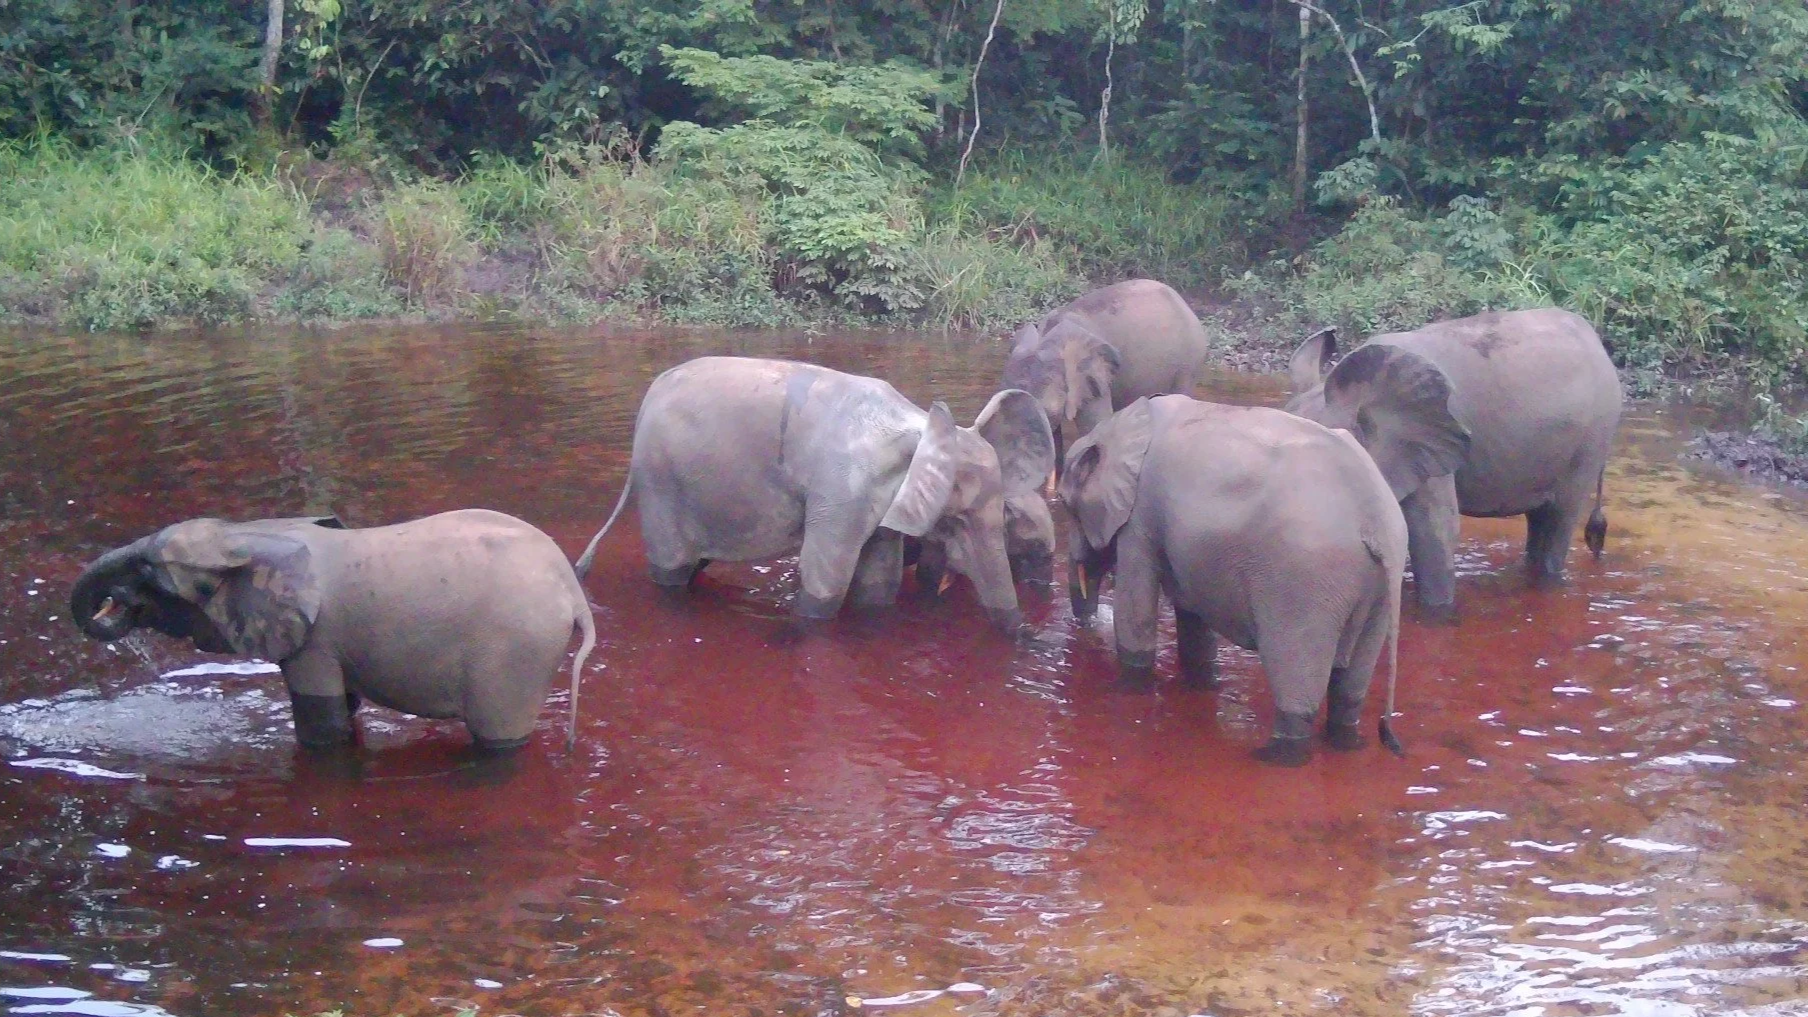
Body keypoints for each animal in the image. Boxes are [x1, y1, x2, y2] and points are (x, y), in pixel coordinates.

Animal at [69, 509, 597, 753]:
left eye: (153, 573)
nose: (112, 603)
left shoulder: (315, 642)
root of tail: (573, 591)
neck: (248, 534)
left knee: (498, 737)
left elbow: (321, 723)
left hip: (515, 651)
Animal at [573, 356, 1056, 632]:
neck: (921, 424)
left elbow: (878, 582)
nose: (1028, 634)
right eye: (955, 522)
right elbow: (827, 579)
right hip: (659, 483)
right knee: (671, 570)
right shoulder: (840, 489)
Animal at [1060, 393, 1468, 765]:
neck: (1125, 423)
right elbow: (1192, 616)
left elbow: (1137, 610)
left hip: (1305, 583)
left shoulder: (1141, 518)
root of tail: (1376, 519)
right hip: (1380, 588)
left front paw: (1128, 689)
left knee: (1295, 677)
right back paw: (1344, 743)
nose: (1087, 626)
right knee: (1350, 685)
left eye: (1065, 505)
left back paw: (1275, 756)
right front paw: (1197, 685)